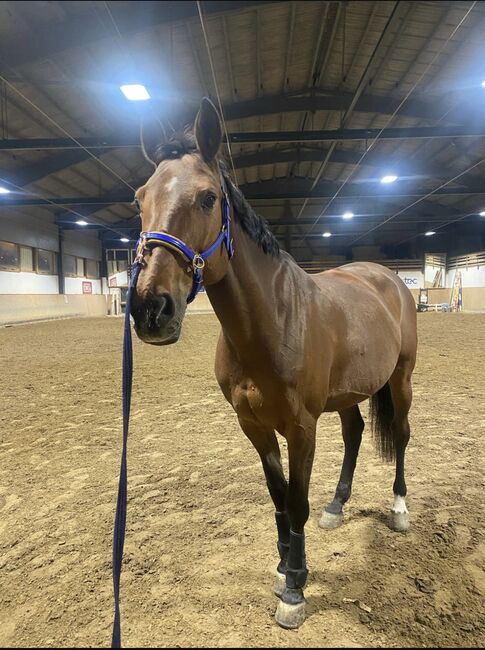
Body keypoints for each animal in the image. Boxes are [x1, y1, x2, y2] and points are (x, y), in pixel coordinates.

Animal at [130, 97, 416, 628]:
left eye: (207, 198)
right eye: (140, 198)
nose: (150, 309)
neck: (273, 321)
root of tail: (387, 276)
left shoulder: (302, 428)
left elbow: (296, 502)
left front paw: (296, 588)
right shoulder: (254, 425)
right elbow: (278, 497)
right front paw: (284, 566)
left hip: (402, 379)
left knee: (403, 436)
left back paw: (400, 509)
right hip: (347, 394)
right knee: (354, 433)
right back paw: (337, 506)